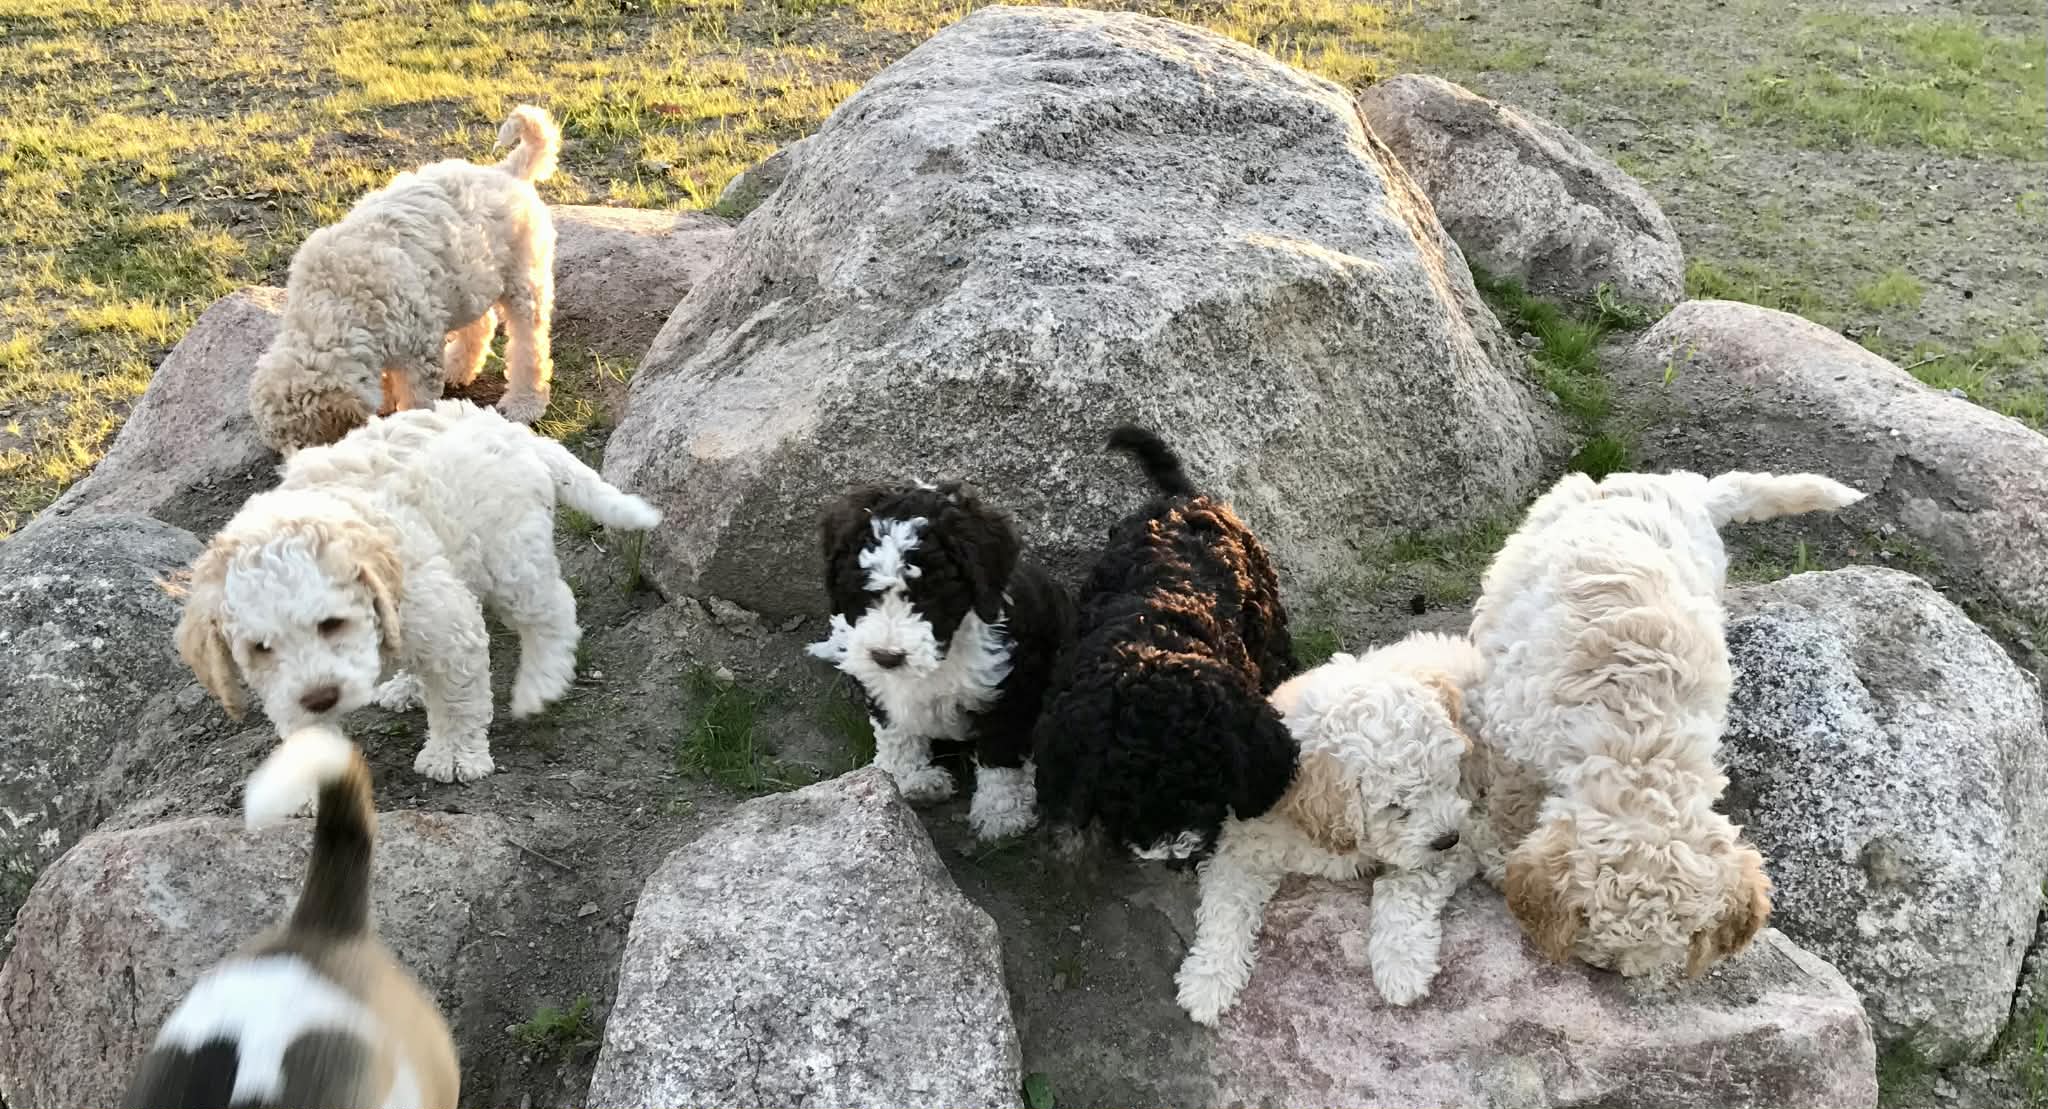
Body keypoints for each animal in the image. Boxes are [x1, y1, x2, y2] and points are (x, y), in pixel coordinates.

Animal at [176, 401, 659, 783]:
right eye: (260, 649)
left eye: (332, 624)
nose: (321, 697)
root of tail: (508, 427)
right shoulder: (287, 690)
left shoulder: (447, 624)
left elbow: (458, 699)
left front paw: (454, 756)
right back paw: (406, 685)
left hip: (511, 553)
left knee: (553, 611)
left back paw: (540, 684)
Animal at [249, 105, 562, 454]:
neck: (334, 301)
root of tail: (507, 171)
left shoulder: (418, 351)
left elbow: (416, 400)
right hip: (467, 281)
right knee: (481, 323)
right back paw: (458, 367)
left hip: (524, 278)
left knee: (528, 343)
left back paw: (524, 402)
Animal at [807, 482, 1074, 840]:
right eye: (863, 591)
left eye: (928, 595)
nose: (886, 657)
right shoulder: (879, 685)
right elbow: (897, 733)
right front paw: (909, 779)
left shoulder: (1011, 689)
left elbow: (1001, 753)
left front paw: (1001, 814)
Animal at [1175, 631, 1483, 1024]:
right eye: (1395, 806)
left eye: (1447, 780)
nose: (1448, 839)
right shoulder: (1244, 841)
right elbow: (1224, 906)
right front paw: (1207, 980)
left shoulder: (1462, 835)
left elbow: (1403, 887)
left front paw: (1402, 967)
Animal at [1471, 468, 1863, 978]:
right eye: (1593, 928)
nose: (1616, 972)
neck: (1641, 733)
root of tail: (1681, 485)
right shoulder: (1514, 734)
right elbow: (1511, 802)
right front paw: (1500, 855)